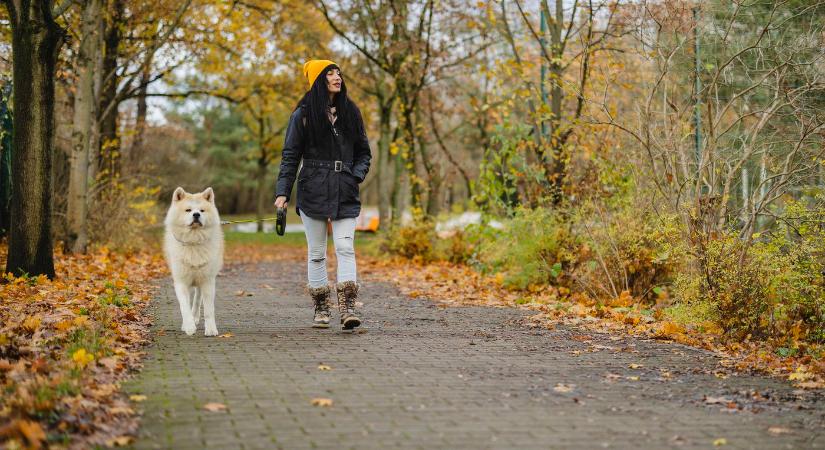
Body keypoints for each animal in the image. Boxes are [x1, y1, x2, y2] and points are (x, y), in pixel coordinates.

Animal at [163, 185, 224, 334]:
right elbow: (184, 307)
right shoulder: (180, 282)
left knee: (197, 300)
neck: (193, 241)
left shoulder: (208, 281)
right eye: (188, 210)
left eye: (202, 210)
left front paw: (211, 330)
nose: (196, 215)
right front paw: (189, 326)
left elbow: (208, 310)